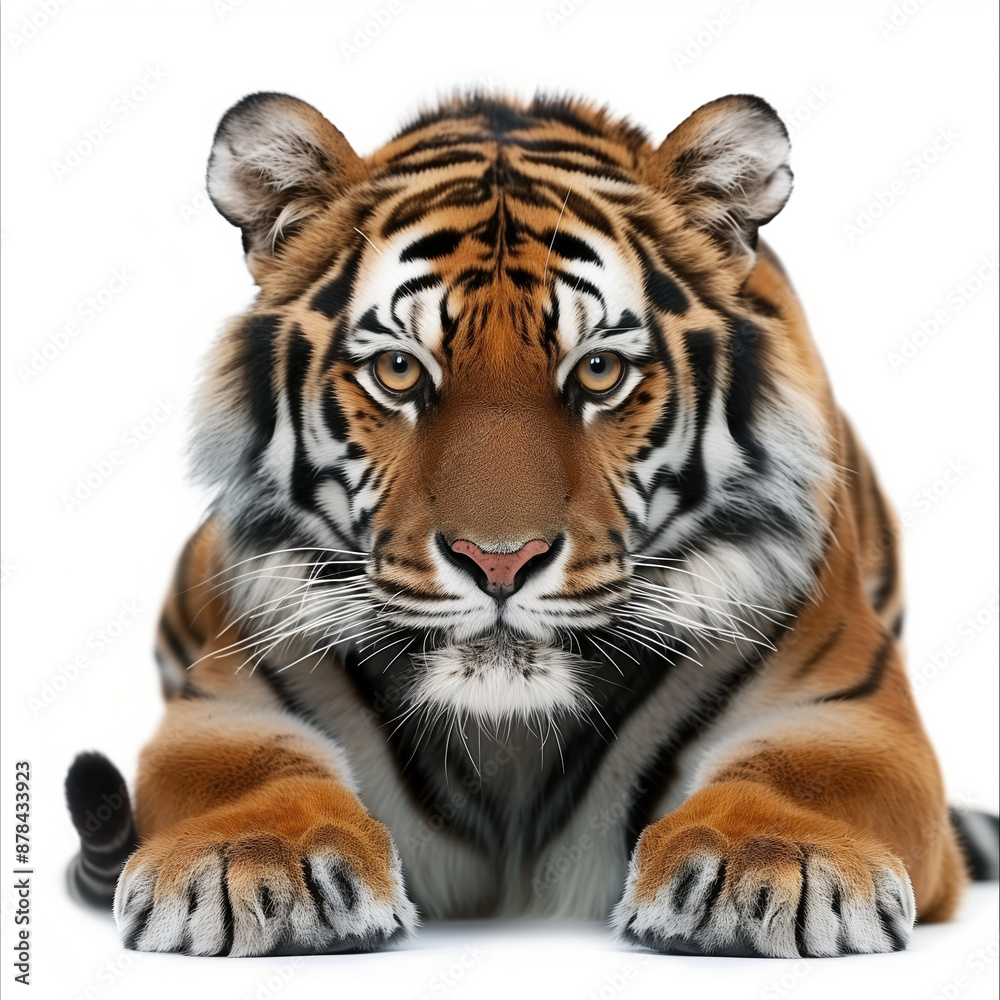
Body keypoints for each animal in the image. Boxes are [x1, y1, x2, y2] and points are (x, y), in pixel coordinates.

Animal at [64, 90, 998, 959]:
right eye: (399, 370)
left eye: (600, 371)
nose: (500, 561)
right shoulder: (222, 704)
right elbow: (247, 767)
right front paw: (254, 862)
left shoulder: (848, 712)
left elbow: (803, 772)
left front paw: (769, 862)